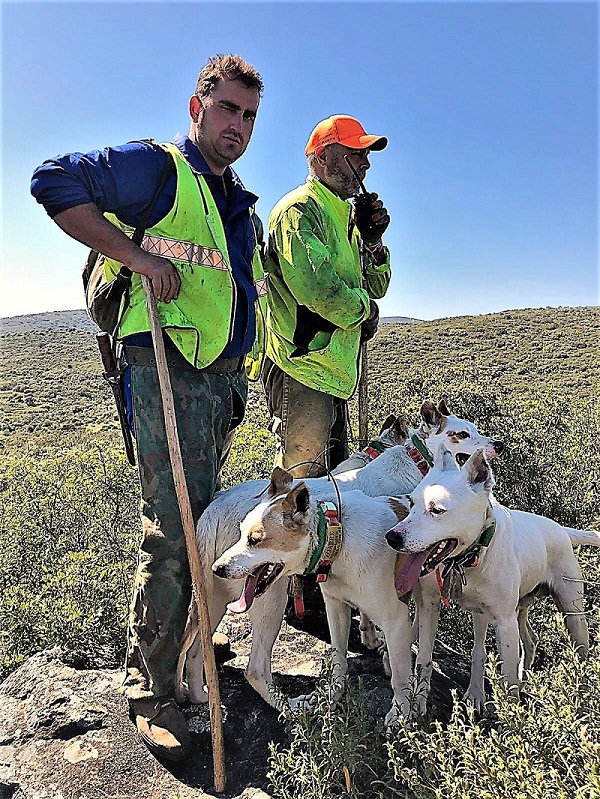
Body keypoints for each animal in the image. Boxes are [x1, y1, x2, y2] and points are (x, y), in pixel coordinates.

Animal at [211, 472, 412, 728]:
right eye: (241, 531)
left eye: (254, 540)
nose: (217, 568)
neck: (339, 538)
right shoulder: (336, 608)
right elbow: (339, 659)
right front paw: (332, 696)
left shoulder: (394, 621)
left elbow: (399, 676)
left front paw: (401, 714)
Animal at [386, 444, 596, 712]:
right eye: (411, 502)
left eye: (437, 510)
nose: (392, 537)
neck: (466, 559)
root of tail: (561, 529)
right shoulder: (430, 605)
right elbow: (425, 657)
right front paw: (419, 703)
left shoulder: (504, 622)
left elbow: (505, 677)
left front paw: (509, 716)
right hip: (515, 609)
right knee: (529, 640)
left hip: (572, 613)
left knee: (579, 652)